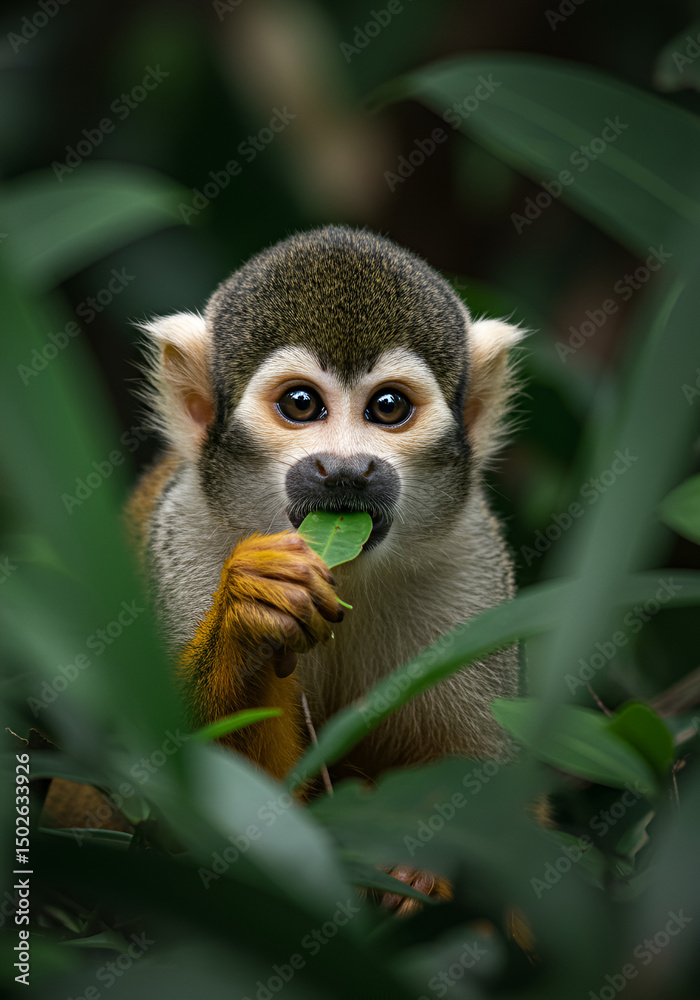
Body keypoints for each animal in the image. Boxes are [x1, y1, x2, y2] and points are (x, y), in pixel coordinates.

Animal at [125, 225, 524, 906]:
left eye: (388, 407)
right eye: (301, 403)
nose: (345, 469)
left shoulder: (473, 569)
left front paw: (422, 872)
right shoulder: (186, 539)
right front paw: (249, 614)